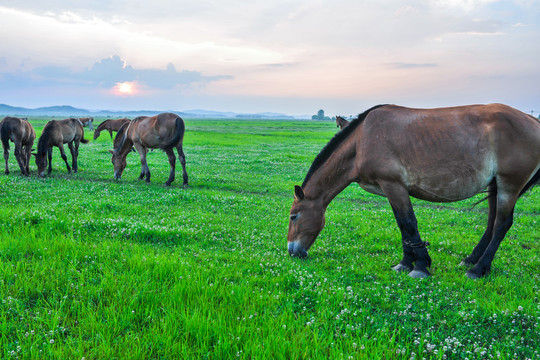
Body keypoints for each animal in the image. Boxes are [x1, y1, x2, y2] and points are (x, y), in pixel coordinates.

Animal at [286, 103, 540, 278]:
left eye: (293, 216)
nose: (292, 251)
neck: (361, 141)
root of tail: (532, 119)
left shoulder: (393, 185)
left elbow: (409, 224)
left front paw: (420, 266)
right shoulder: (391, 189)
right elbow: (402, 226)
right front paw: (406, 263)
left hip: (509, 184)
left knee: (501, 225)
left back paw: (478, 269)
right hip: (495, 185)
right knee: (491, 223)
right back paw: (471, 260)